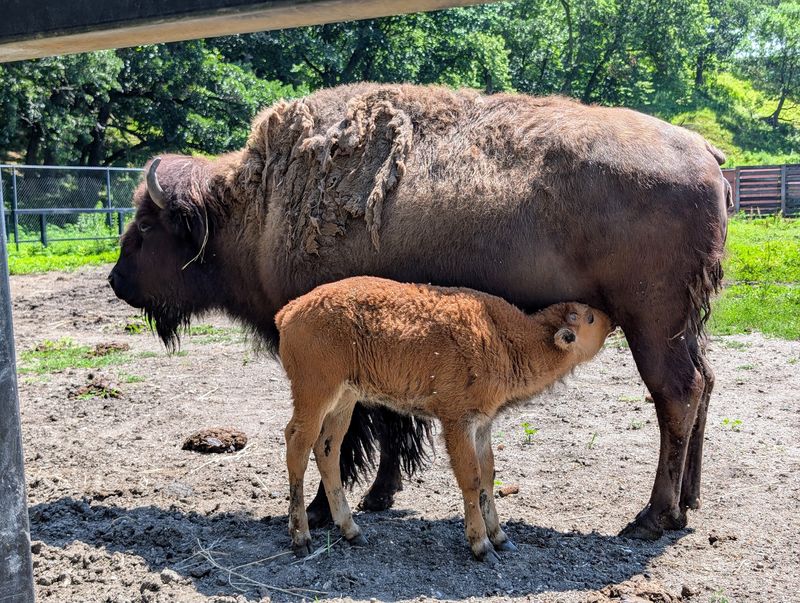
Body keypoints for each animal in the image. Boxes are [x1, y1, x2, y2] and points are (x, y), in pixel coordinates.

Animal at [108, 83, 729, 540]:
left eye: (146, 227)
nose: (116, 281)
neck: (257, 207)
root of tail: (706, 154)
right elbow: (390, 423)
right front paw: (379, 496)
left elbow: (355, 434)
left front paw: (328, 509)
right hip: (685, 324)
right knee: (705, 382)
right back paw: (691, 500)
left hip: (652, 323)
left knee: (676, 393)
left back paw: (653, 517)